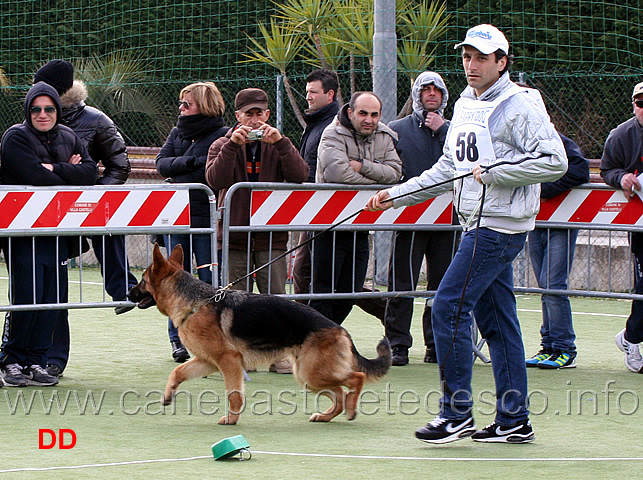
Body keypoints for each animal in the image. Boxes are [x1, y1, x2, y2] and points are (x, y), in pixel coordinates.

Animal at [128, 246, 392, 426]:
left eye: (143, 281)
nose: (128, 292)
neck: (195, 303)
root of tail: (340, 329)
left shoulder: (228, 362)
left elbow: (234, 394)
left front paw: (232, 420)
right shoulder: (207, 361)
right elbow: (177, 372)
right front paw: (168, 395)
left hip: (313, 373)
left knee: (356, 378)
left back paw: (351, 409)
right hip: (308, 377)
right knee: (339, 393)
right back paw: (326, 416)